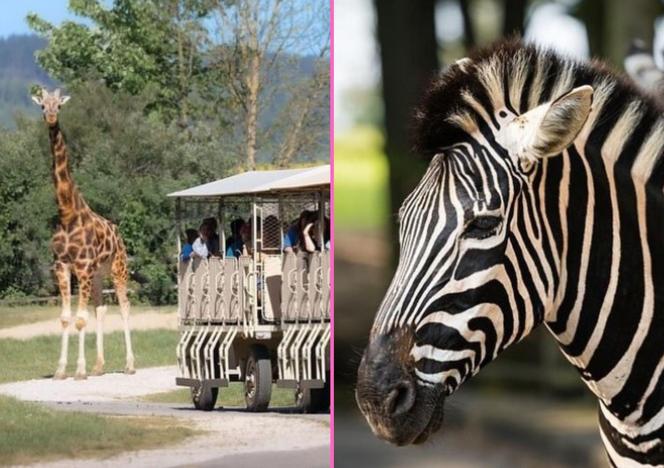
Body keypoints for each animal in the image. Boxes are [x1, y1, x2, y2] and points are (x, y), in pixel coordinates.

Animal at [31, 88, 136, 380]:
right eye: (42, 105)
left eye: (59, 106)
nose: (51, 117)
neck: (67, 214)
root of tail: (118, 233)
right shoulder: (62, 266)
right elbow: (66, 318)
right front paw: (61, 370)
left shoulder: (83, 266)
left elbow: (80, 319)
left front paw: (79, 370)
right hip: (99, 274)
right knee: (101, 308)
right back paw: (99, 366)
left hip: (118, 267)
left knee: (124, 307)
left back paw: (130, 365)